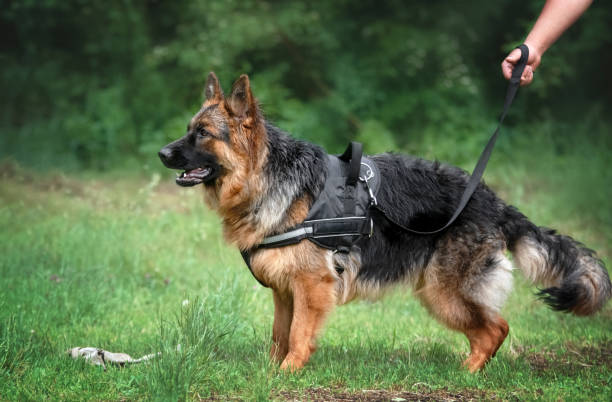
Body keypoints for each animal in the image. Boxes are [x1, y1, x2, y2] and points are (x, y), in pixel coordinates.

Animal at [159, 73, 612, 374]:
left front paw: (288, 374)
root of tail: (491, 199)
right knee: (488, 330)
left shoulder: (311, 288)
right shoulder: (285, 291)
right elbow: (279, 334)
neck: (268, 175)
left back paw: (465, 374)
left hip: (443, 293)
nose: (162, 153)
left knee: (496, 327)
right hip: (440, 293)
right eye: (189, 130)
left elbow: (299, 336)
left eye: (202, 134)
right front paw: (271, 374)